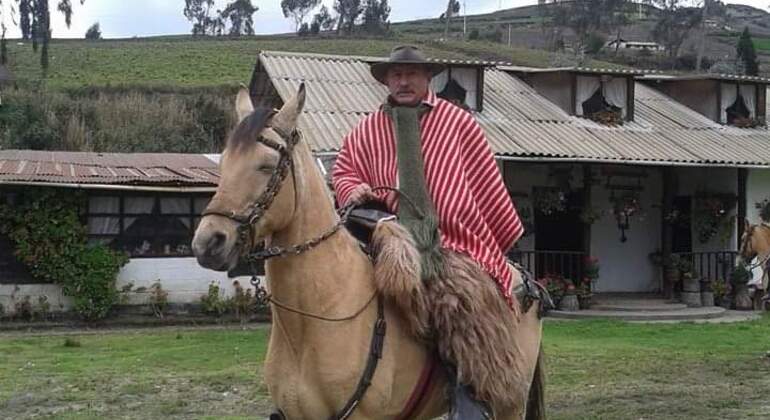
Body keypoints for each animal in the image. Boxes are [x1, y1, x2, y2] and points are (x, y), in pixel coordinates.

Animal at [189, 84, 544, 416]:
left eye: (265, 166)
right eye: (224, 162)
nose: (208, 242)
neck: (317, 318)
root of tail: (526, 283)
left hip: (510, 402)